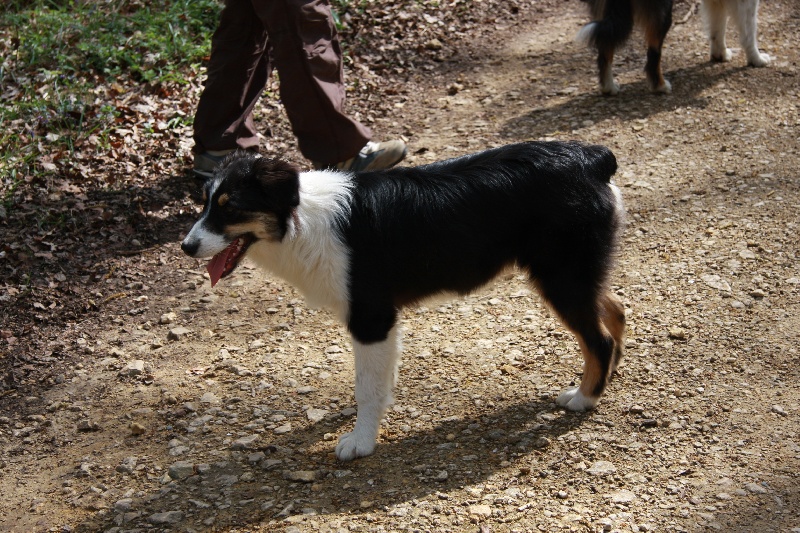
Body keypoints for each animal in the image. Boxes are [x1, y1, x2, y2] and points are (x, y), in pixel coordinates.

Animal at [181, 142, 626, 461]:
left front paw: (361, 441)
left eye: (231, 208)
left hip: (562, 278)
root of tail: (591, 157)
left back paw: (585, 397)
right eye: (205, 203)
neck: (300, 220)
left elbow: (366, 387)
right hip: (576, 276)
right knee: (616, 310)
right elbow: (377, 381)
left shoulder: (371, 318)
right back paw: (607, 377)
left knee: (598, 338)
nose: (186, 247)